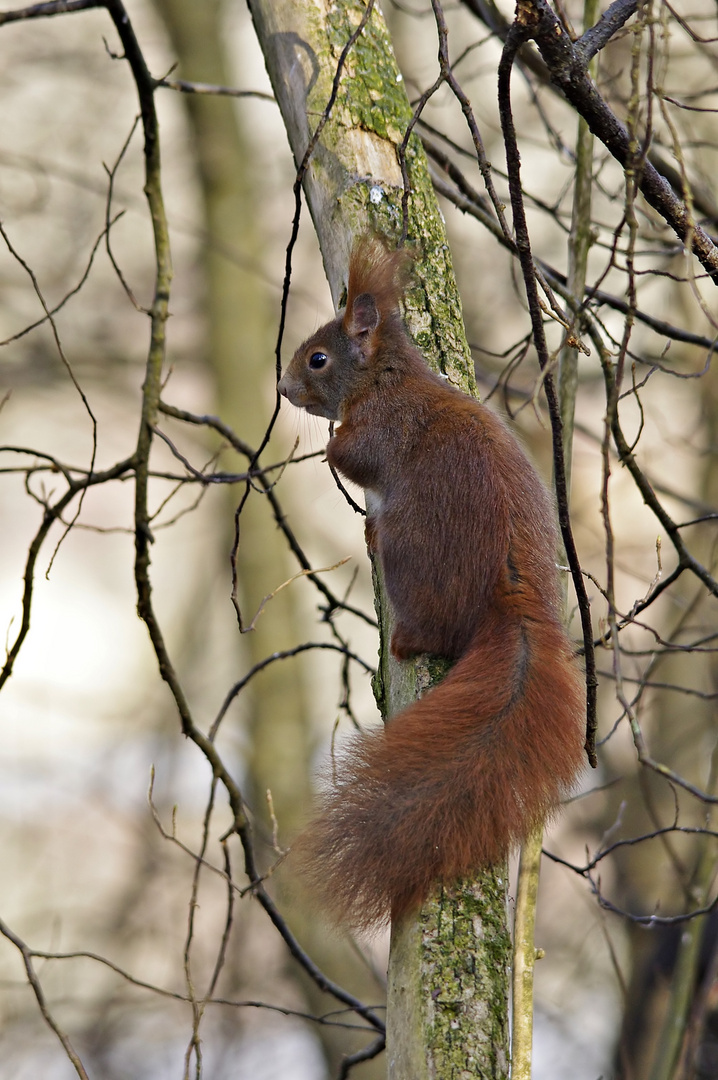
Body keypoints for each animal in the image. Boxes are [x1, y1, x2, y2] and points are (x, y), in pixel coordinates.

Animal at [276, 240, 587, 933]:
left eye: (318, 358)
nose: (283, 389)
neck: (387, 376)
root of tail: (508, 595)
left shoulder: (382, 428)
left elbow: (350, 456)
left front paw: (330, 444)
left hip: (411, 554)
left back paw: (404, 633)